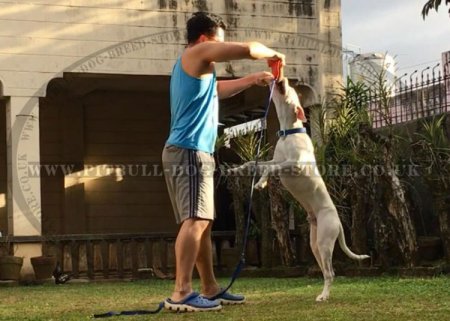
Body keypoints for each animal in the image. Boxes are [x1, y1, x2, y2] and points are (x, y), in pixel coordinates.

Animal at [229, 77, 370, 300]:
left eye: (292, 92)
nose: (283, 79)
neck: (289, 133)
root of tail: (339, 223)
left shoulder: (293, 165)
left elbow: (271, 169)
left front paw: (261, 183)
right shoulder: (275, 160)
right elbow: (255, 163)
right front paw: (237, 169)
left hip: (325, 241)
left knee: (331, 272)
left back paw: (324, 296)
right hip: (315, 245)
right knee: (326, 271)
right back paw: (322, 293)